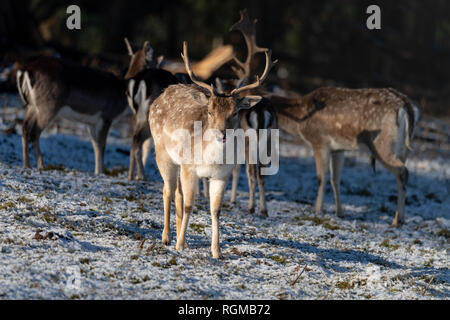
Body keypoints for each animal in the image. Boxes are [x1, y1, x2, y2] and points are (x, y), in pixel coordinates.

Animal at [149, 42, 276, 258]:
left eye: (235, 113)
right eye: (210, 111)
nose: (221, 133)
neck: (211, 161)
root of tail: (161, 95)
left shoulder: (221, 175)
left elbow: (215, 210)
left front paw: (216, 251)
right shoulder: (190, 167)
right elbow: (189, 205)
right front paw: (179, 245)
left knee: (177, 194)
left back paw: (182, 238)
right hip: (163, 153)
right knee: (167, 190)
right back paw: (167, 237)